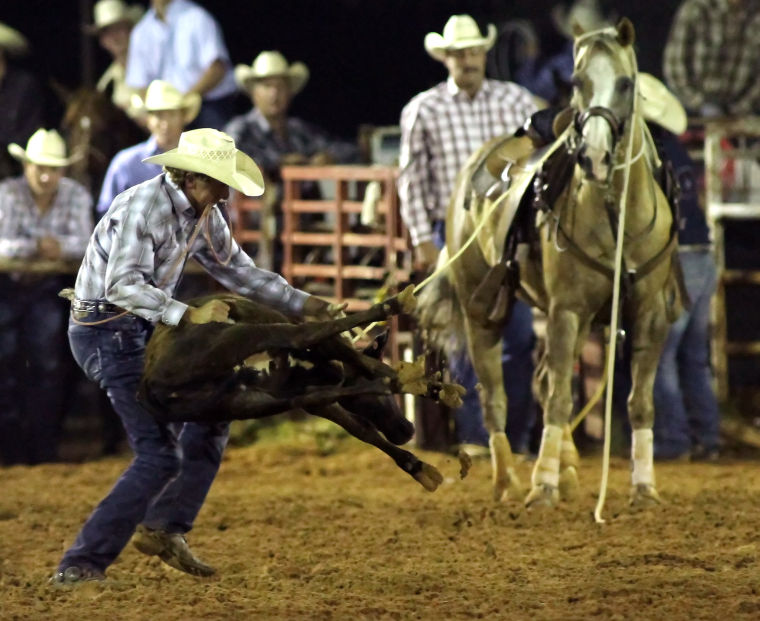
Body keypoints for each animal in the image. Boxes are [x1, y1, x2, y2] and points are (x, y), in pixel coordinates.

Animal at [418, 19, 684, 506]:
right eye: (577, 82)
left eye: (626, 83)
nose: (594, 157)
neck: (617, 216)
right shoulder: (567, 310)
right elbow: (560, 398)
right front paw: (542, 486)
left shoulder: (649, 313)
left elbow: (639, 402)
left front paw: (644, 487)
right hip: (484, 312)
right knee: (497, 396)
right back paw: (509, 479)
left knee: (543, 380)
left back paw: (570, 469)